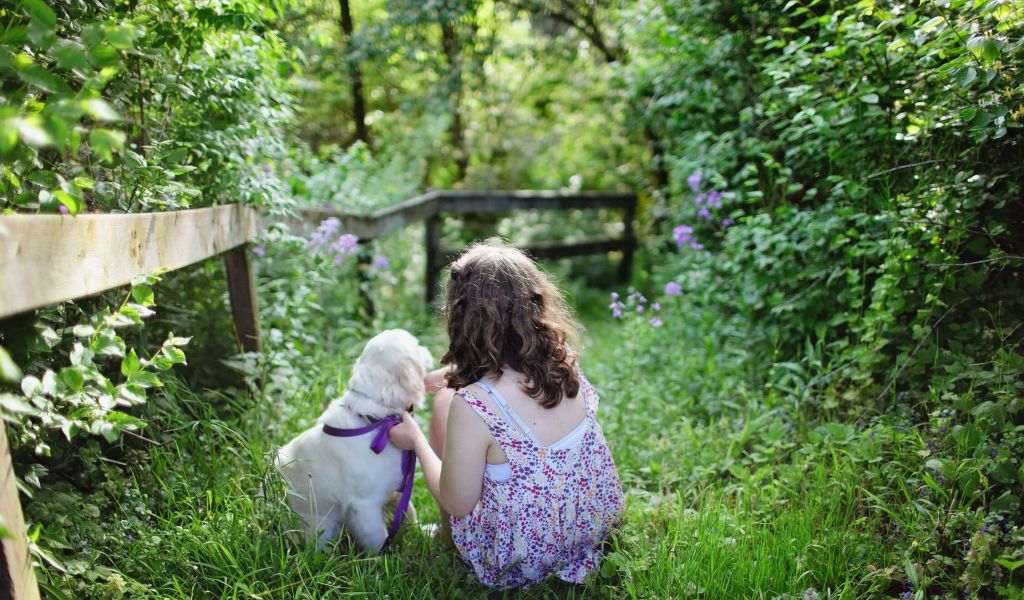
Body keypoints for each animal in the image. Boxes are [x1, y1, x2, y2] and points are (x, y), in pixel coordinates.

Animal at [276, 329, 432, 548]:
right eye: (416, 345)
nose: (427, 348)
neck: (375, 421)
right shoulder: (364, 506)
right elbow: (378, 538)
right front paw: (387, 555)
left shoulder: (398, 488)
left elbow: (409, 512)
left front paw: (424, 532)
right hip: (323, 529)